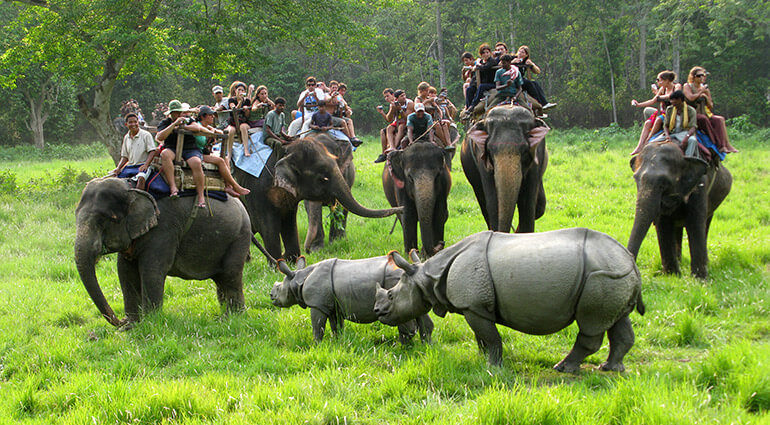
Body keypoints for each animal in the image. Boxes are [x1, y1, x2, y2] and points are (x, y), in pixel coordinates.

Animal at [74, 177, 251, 327]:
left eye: (106, 219)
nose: (120, 321)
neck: (133, 188)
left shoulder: (164, 228)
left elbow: (151, 271)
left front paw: (150, 323)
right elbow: (125, 272)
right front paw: (133, 325)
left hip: (239, 237)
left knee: (230, 276)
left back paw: (232, 317)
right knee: (221, 279)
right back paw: (225, 316)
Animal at [234, 133, 400, 262]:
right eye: (322, 178)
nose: (307, 251)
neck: (286, 151)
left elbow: (289, 221)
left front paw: (293, 261)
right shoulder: (257, 189)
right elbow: (265, 223)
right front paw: (279, 265)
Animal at [270, 254, 433, 344]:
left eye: (278, 289)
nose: (271, 295)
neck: (298, 279)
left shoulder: (317, 305)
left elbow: (318, 327)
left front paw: (316, 345)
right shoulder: (332, 305)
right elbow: (336, 326)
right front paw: (338, 342)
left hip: (395, 281)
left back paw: (402, 348)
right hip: (410, 286)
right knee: (417, 312)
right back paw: (426, 347)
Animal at [374, 228, 644, 371]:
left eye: (392, 295)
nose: (379, 313)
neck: (427, 277)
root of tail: (629, 260)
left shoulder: (473, 306)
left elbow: (491, 337)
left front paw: (493, 367)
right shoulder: (476, 307)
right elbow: (481, 336)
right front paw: (483, 358)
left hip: (600, 277)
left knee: (590, 324)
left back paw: (563, 367)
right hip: (614, 276)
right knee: (617, 320)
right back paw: (610, 368)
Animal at [627, 141, 732, 279]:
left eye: (664, 183)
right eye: (635, 179)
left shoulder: (700, 186)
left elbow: (695, 223)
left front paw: (699, 279)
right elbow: (663, 225)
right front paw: (672, 276)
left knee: (705, 223)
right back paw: (680, 263)